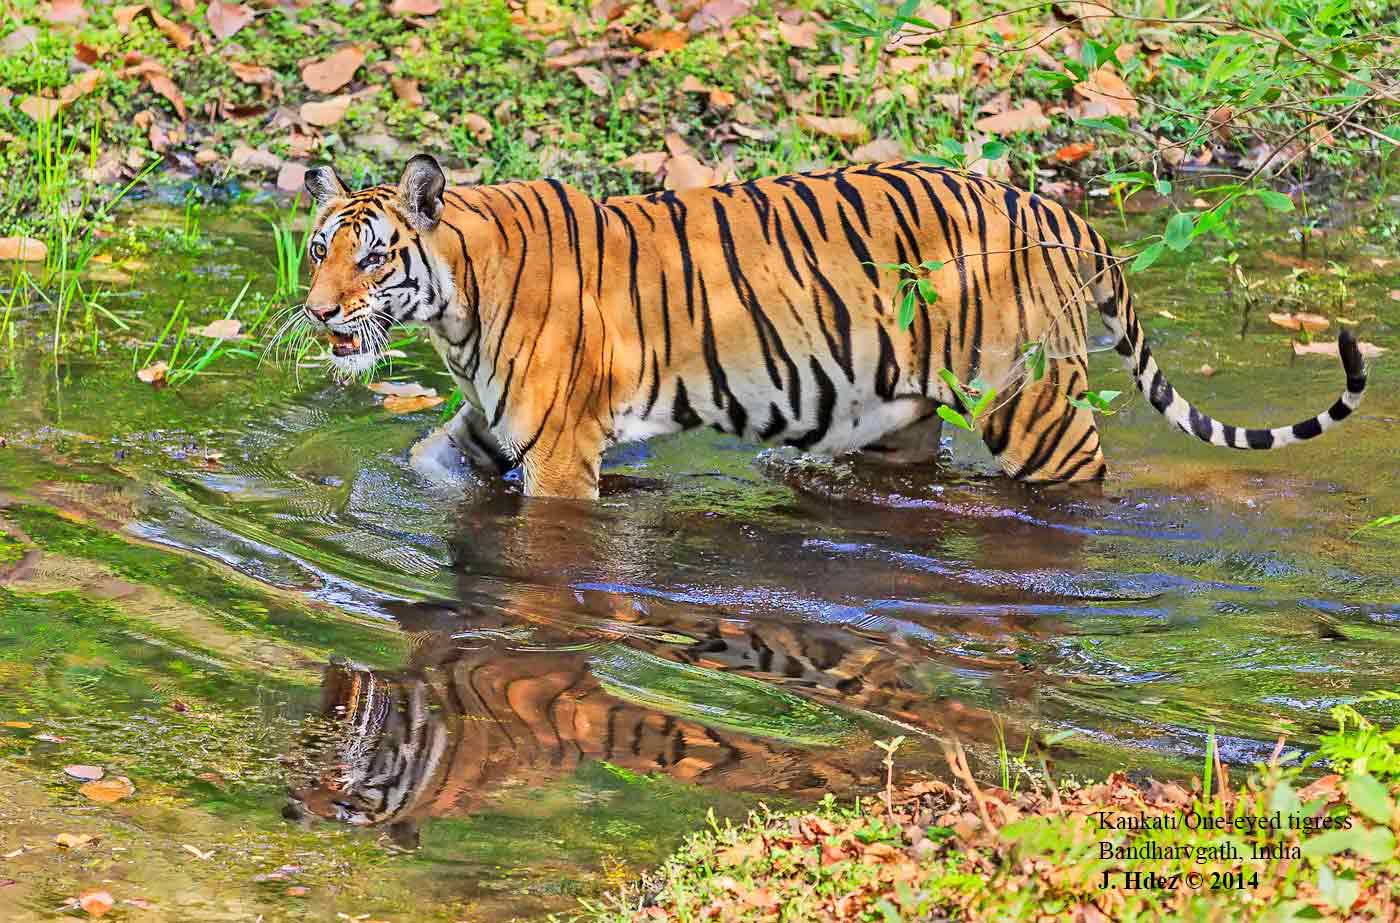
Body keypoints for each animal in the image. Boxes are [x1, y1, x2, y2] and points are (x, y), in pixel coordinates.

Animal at [298, 154, 1366, 498]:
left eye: (374, 257)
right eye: (317, 249)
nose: (317, 311)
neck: (459, 302)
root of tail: (1061, 213)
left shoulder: (560, 451)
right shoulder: (492, 424)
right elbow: (427, 460)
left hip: (1038, 412)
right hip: (898, 412)